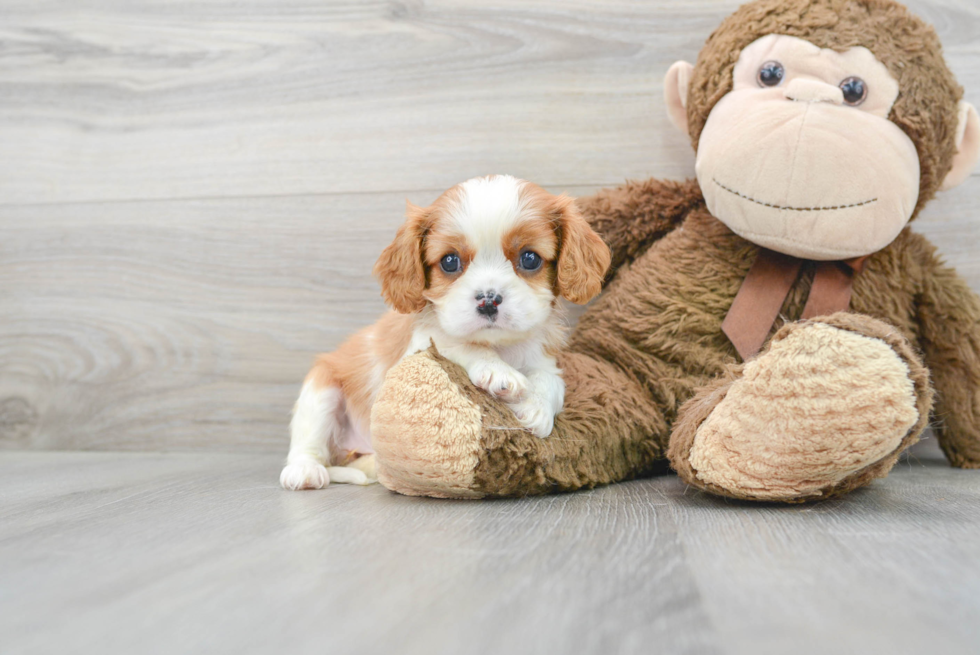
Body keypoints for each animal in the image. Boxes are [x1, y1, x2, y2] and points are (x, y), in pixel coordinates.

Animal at [280, 176, 608, 492]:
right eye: (450, 261)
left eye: (530, 258)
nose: (488, 300)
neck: (500, 347)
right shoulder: (419, 345)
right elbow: (457, 342)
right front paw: (498, 372)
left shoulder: (542, 357)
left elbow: (551, 381)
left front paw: (536, 407)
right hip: (321, 392)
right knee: (307, 444)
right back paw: (305, 471)